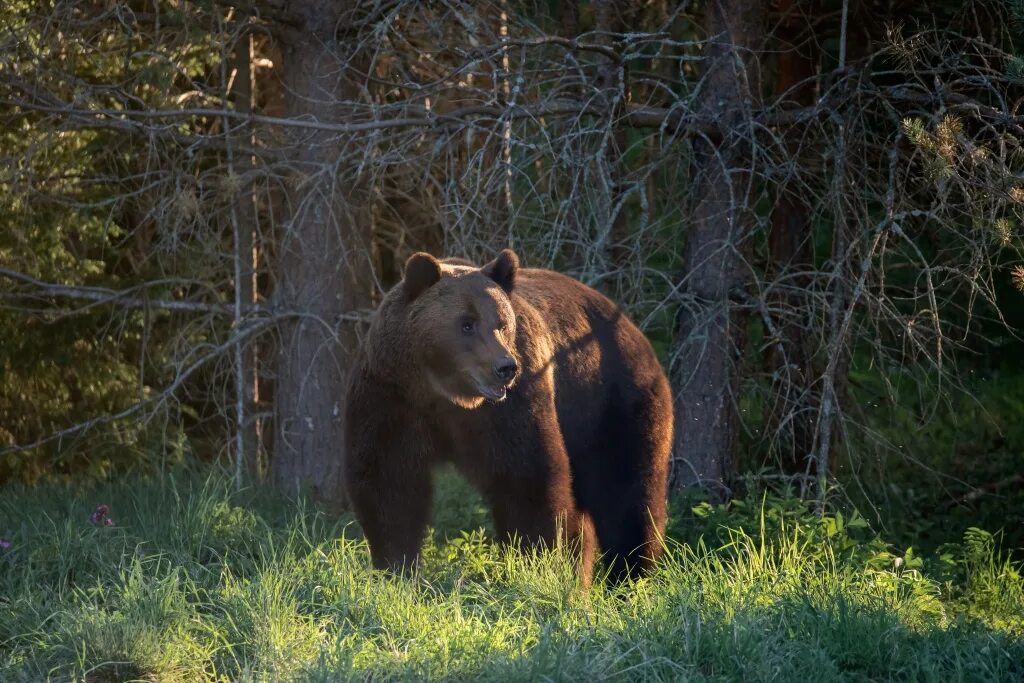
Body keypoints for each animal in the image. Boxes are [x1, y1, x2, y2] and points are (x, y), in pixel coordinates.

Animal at [344, 248, 675, 585]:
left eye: (502, 323)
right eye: (467, 323)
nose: (505, 367)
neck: (444, 394)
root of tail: (633, 328)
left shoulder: (509, 409)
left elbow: (526, 478)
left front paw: (534, 564)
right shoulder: (391, 397)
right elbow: (389, 484)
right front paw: (396, 568)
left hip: (612, 404)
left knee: (627, 493)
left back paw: (629, 576)